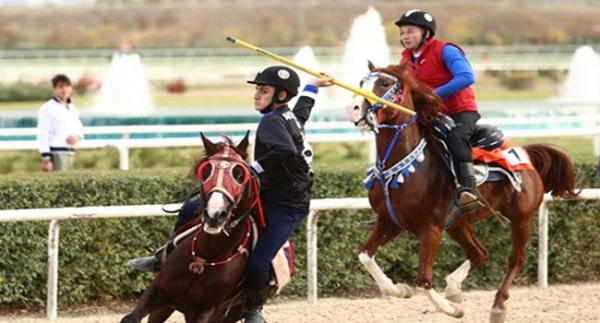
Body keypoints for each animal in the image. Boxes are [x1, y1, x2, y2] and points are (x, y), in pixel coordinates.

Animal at [121, 132, 260, 323]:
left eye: (239, 175)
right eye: (206, 171)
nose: (214, 215)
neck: (206, 257)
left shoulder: (204, 310)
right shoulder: (158, 291)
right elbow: (131, 317)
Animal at [344, 61, 580, 323]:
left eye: (385, 83)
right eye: (362, 82)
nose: (353, 108)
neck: (401, 168)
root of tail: (526, 153)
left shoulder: (430, 229)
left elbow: (423, 279)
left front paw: (452, 309)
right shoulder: (390, 221)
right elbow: (365, 255)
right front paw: (401, 289)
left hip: (521, 218)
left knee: (514, 260)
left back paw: (497, 305)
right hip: (458, 224)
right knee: (480, 253)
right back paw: (454, 288)